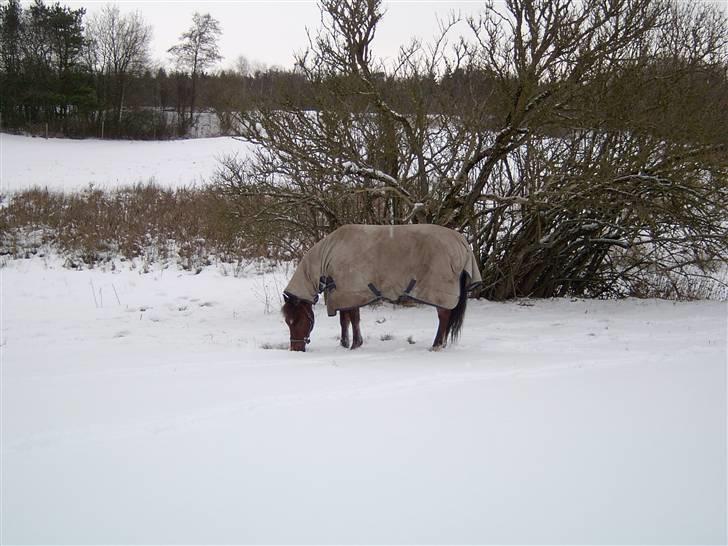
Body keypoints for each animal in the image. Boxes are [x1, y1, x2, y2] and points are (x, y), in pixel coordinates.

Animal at [282, 223, 480, 350]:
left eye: (297, 320)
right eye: (287, 322)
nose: (296, 349)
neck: (330, 254)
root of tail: (462, 242)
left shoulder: (352, 292)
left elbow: (353, 319)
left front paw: (355, 345)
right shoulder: (343, 293)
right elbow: (345, 320)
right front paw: (344, 344)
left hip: (439, 292)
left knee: (444, 316)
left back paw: (437, 345)